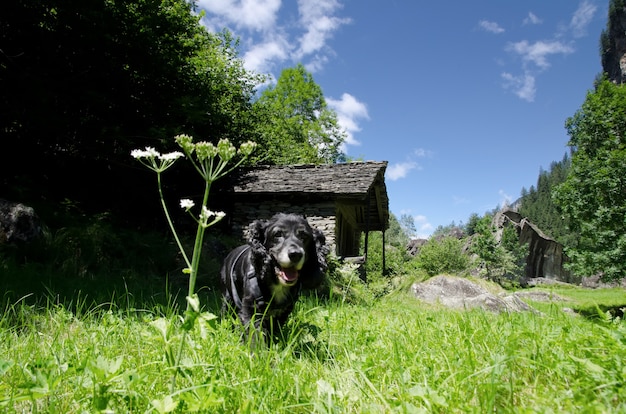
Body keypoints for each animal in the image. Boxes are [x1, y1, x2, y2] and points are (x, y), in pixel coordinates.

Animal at [218, 212, 326, 344]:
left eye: (304, 236)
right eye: (277, 234)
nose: (295, 254)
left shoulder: (284, 311)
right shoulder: (250, 308)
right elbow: (254, 333)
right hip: (227, 298)